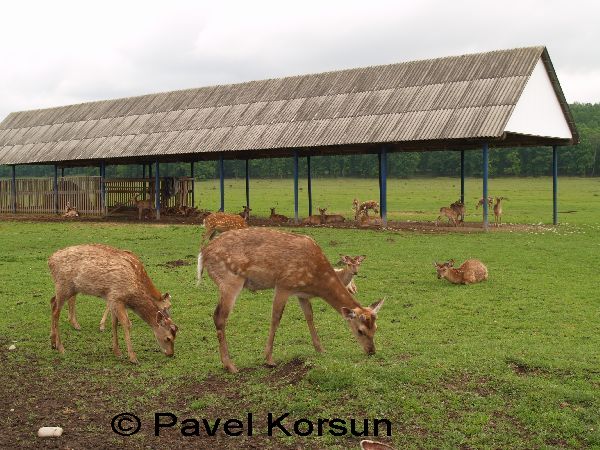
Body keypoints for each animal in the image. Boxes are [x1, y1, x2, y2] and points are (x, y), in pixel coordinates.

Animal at [48, 244, 177, 364]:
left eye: (176, 336)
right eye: (168, 338)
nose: (171, 354)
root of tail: (50, 260)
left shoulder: (113, 299)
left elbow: (114, 323)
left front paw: (117, 351)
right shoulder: (116, 296)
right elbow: (126, 324)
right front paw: (133, 357)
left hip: (68, 288)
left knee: (52, 301)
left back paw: (53, 342)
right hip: (63, 285)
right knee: (56, 311)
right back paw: (61, 347)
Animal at [198, 229, 384, 372]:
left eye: (376, 328)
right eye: (360, 331)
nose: (371, 351)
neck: (317, 282)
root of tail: (203, 255)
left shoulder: (301, 293)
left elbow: (309, 317)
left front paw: (321, 349)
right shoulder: (283, 285)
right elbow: (276, 318)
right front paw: (269, 359)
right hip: (230, 280)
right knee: (219, 317)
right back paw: (230, 366)